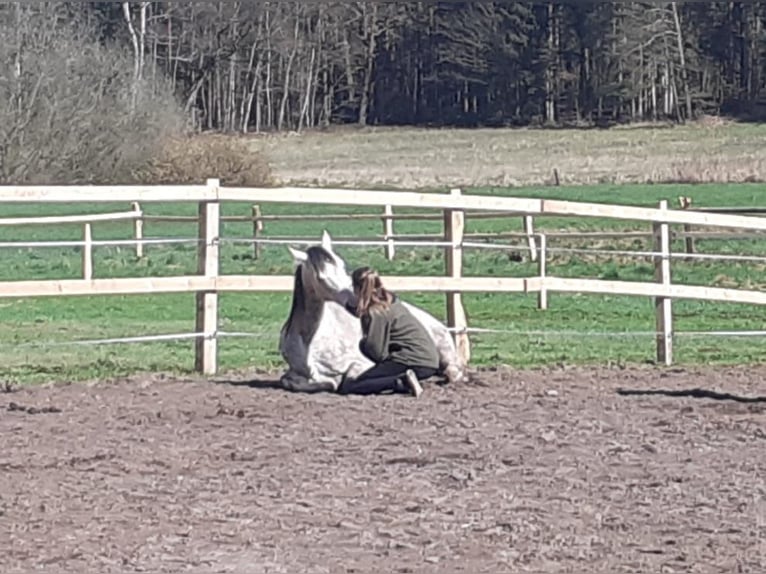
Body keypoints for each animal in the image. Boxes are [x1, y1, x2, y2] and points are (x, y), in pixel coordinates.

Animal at [278, 232, 464, 394]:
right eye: (320, 277)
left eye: (341, 264)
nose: (356, 302)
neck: (310, 343)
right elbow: (288, 381)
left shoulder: (361, 364)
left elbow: (343, 383)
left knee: (453, 372)